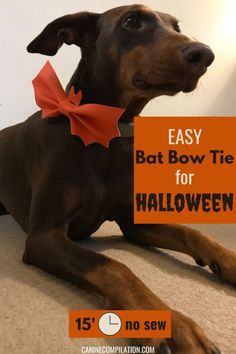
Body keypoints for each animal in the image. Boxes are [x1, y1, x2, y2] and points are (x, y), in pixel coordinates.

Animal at [0, 4, 234, 352]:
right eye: (132, 21)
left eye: (177, 26)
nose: (204, 53)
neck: (106, 131)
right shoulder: (44, 236)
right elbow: (115, 267)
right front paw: (174, 326)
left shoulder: (133, 221)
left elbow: (191, 232)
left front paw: (230, 260)